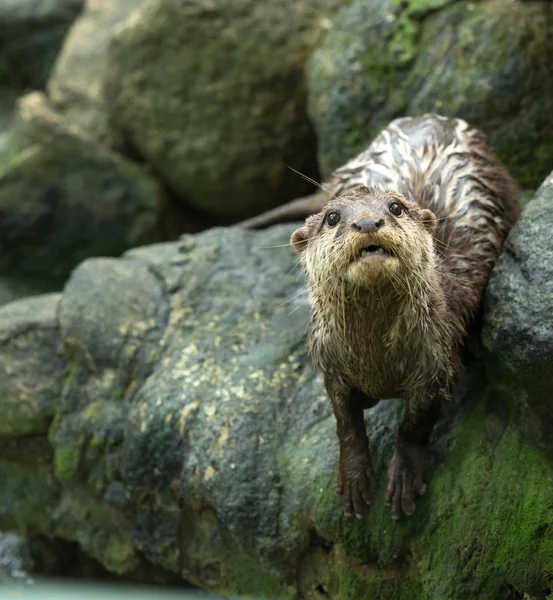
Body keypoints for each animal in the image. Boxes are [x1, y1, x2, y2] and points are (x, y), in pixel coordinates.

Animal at [286, 116, 520, 520]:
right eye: (333, 218)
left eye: (395, 207)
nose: (368, 222)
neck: (376, 359)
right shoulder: (330, 361)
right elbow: (344, 421)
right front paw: (354, 476)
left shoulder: (435, 361)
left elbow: (415, 424)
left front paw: (405, 476)